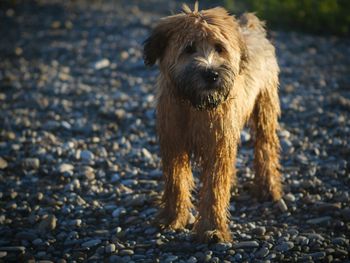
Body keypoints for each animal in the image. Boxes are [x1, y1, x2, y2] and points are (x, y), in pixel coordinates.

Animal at [142, 1, 282, 243]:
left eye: (219, 48)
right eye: (189, 48)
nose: (211, 74)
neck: (194, 104)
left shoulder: (218, 144)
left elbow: (214, 189)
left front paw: (212, 229)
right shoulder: (173, 142)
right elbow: (175, 182)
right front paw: (172, 218)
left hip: (266, 107)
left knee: (265, 148)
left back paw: (268, 188)